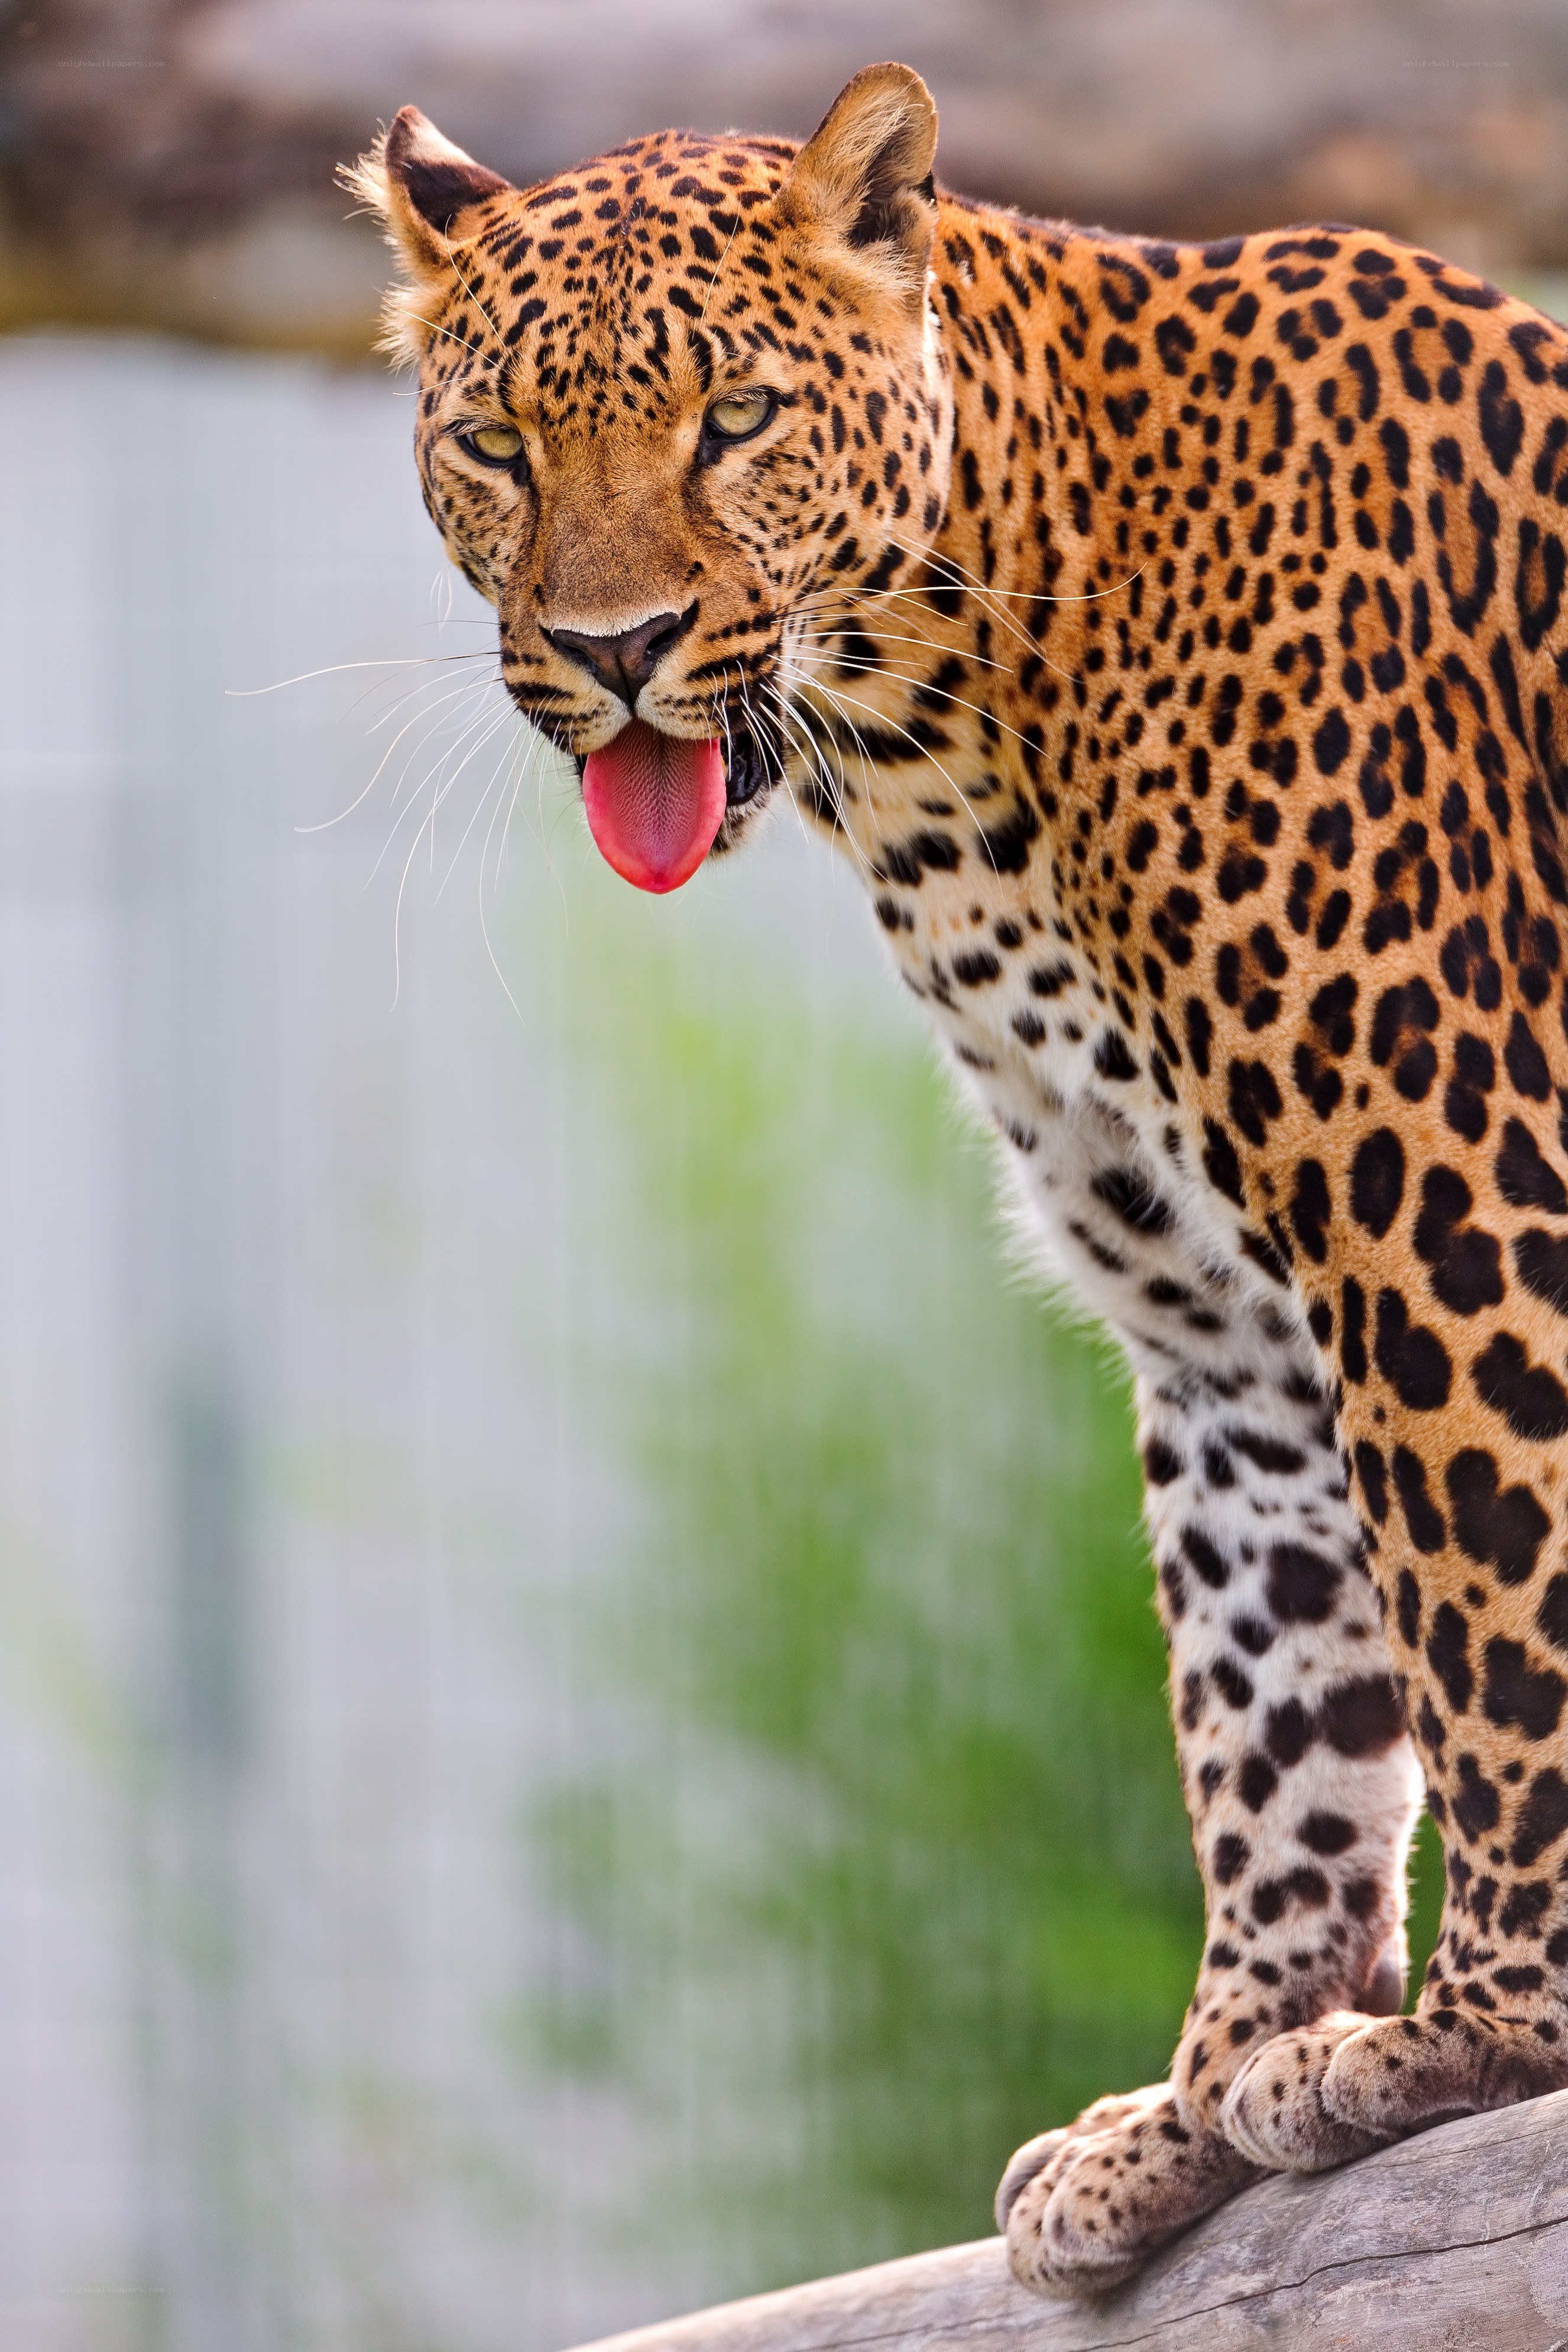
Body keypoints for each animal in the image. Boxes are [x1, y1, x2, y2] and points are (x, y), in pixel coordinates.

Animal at [346, 61, 1568, 2300]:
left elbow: (1492, 1613)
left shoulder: (1447, 1181)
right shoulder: (1218, 1325)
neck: (935, 742)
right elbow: (1271, 1700)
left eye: (735, 415)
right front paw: (1201, 2091)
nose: (615, 646)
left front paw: (1486, 2036)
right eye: (495, 444)